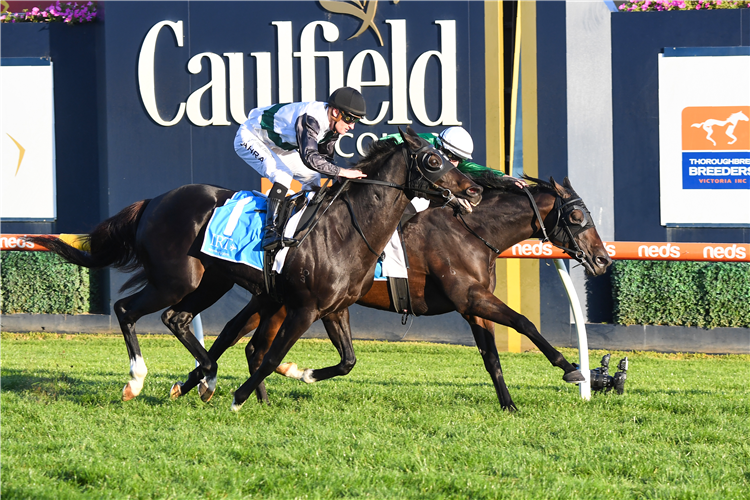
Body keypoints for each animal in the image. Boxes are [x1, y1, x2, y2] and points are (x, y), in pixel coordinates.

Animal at [27, 127, 482, 404]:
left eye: (449, 159)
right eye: (433, 161)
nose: (474, 190)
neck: (346, 229)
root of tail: (154, 201)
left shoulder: (334, 309)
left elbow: (348, 361)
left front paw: (302, 374)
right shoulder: (303, 308)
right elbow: (267, 354)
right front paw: (244, 395)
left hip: (210, 282)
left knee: (177, 319)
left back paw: (203, 378)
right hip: (177, 279)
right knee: (127, 309)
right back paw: (138, 380)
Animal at [185, 172, 612, 410]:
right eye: (578, 215)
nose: (603, 259)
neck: (472, 231)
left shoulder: (472, 305)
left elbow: (492, 357)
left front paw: (509, 405)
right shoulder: (469, 296)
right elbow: (525, 322)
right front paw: (573, 369)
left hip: (274, 299)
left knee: (244, 342)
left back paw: (212, 385)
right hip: (284, 302)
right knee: (240, 340)